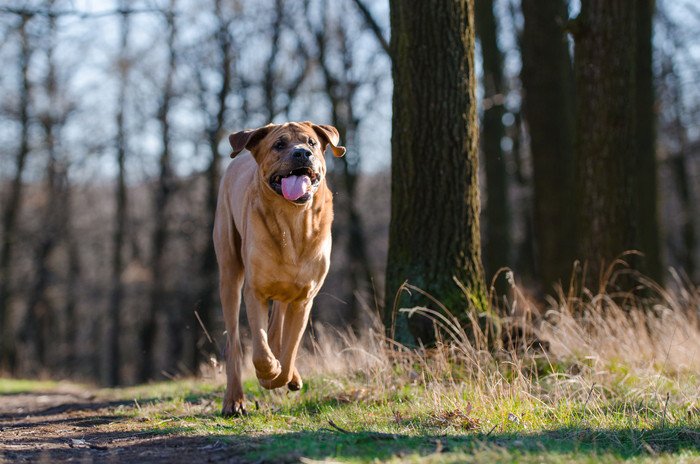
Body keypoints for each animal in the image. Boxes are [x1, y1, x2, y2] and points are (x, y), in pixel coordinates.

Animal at [213, 121, 344, 416]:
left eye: (311, 143)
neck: (292, 221)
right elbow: (260, 351)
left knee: (277, 331)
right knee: (234, 343)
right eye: (279, 145)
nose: (302, 153)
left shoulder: (304, 298)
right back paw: (234, 400)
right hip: (229, 272)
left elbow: (290, 347)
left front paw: (283, 375)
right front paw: (267, 372)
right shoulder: (255, 291)